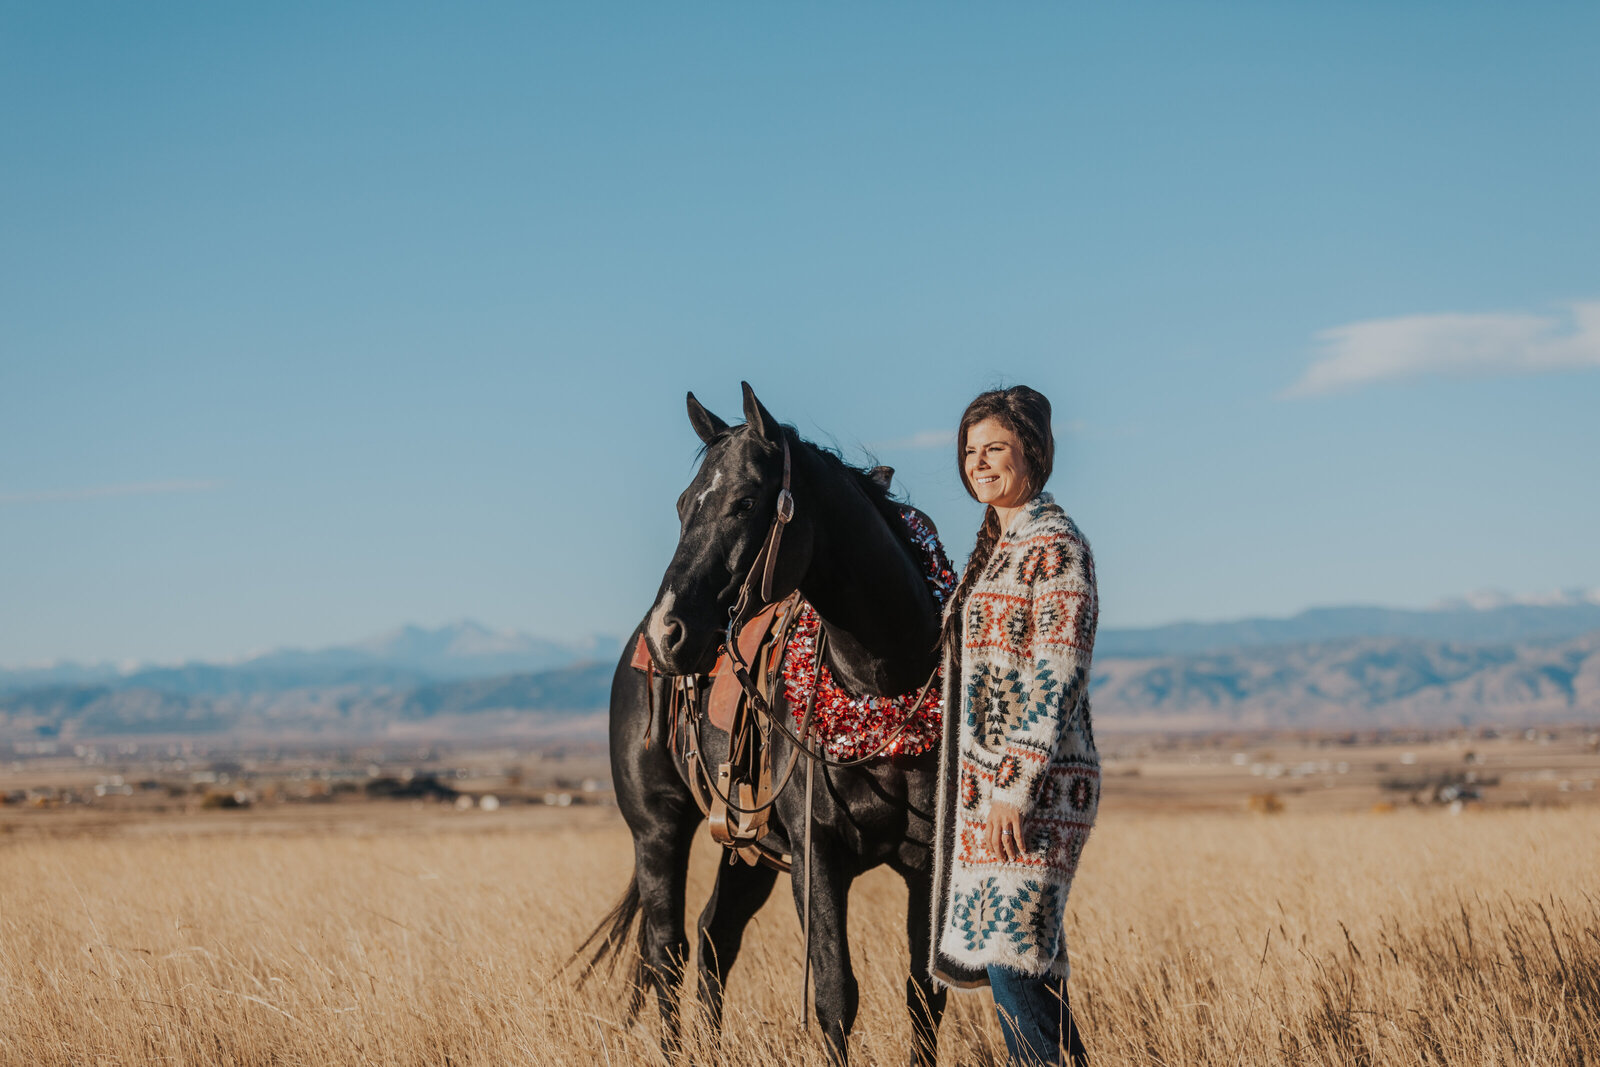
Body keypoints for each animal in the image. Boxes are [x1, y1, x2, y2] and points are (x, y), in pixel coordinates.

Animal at [595, 385, 953, 1067]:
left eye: (744, 502)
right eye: (682, 505)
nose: (667, 633)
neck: (879, 682)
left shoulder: (926, 865)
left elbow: (924, 995)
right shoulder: (817, 857)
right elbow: (836, 995)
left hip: (747, 845)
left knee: (714, 936)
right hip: (657, 828)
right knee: (668, 950)